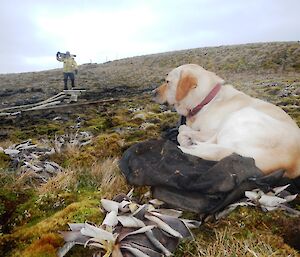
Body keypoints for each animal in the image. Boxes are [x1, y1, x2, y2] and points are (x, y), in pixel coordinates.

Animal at [154, 63, 300, 177]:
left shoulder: (210, 131)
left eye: (167, 82)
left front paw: (184, 136)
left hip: (238, 117)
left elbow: (182, 129)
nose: (152, 93)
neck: (206, 100)